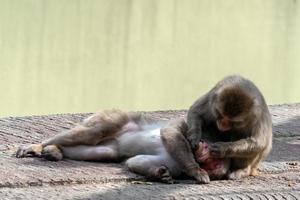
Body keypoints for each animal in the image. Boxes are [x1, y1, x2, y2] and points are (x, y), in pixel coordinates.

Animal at [15, 110, 230, 184]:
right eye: (204, 147)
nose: (200, 149)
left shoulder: (177, 166)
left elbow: (135, 161)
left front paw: (159, 174)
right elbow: (171, 132)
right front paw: (196, 171)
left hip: (111, 143)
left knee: (104, 151)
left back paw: (54, 151)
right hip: (115, 116)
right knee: (91, 132)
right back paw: (40, 145)